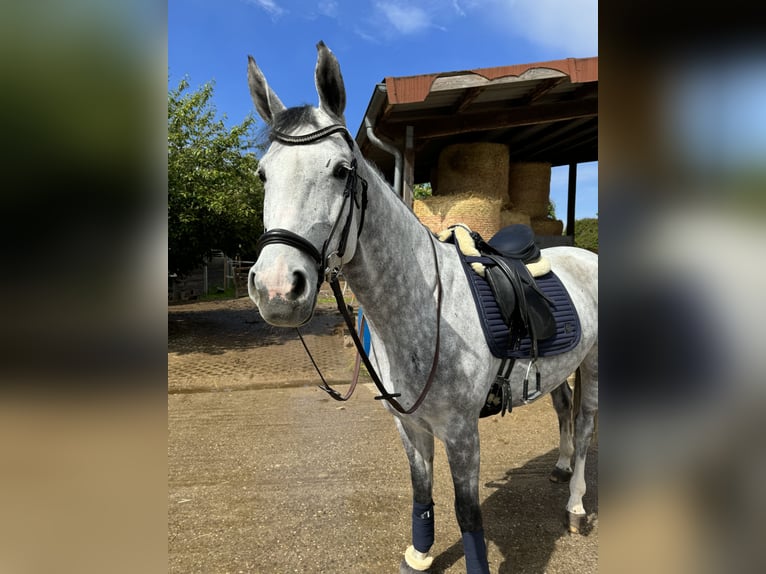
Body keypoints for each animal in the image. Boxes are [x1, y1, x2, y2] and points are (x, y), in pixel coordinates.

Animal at [246, 41, 600, 574]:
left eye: (341, 169)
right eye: (264, 173)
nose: (276, 289)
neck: (424, 308)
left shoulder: (461, 432)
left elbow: (468, 512)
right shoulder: (410, 425)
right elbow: (421, 491)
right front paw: (419, 554)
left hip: (594, 367)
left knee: (584, 428)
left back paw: (576, 504)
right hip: (560, 366)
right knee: (562, 410)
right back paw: (558, 468)